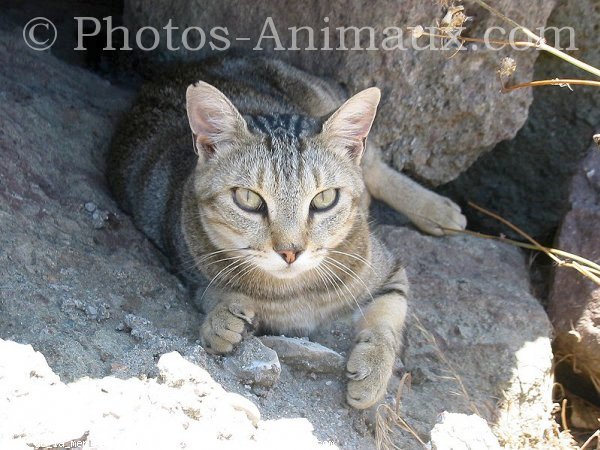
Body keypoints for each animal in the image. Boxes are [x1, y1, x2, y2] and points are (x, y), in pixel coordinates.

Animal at [108, 54, 466, 410]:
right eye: (249, 199)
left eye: (324, 199)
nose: (290, 251)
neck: (295, 292)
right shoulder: (189, 268)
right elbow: (212, 293)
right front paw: (222, 318)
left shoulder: (390, 271)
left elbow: (386, 322)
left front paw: (373, 370)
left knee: (375, 168)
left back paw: (439, 210)